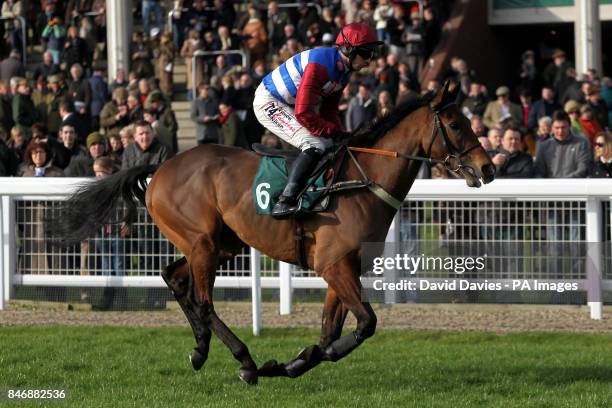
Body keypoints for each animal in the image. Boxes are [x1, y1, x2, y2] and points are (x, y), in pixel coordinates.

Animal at [49, 80, 498, 386]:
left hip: (220, 243)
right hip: (204, 243)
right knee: (203, 301)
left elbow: (329, 332)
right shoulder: (335, 266)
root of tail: (161, 167)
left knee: (173, 277)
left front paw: (292, 363)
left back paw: (200, 350)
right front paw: (277, 364)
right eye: (455, 123)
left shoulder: (340, 269)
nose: (489, 168)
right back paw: (244, 360)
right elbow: (366, 324)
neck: (359, 181)